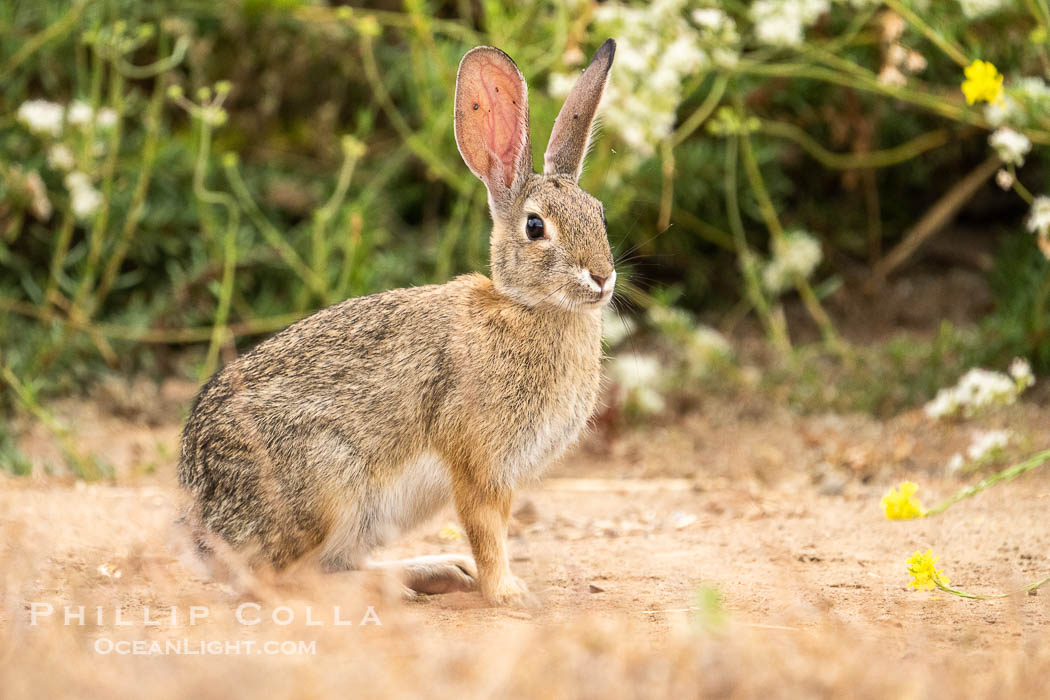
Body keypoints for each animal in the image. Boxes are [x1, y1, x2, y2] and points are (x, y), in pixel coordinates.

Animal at [178, 38, 617, 607]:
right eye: (536, 227)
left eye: (600, 214)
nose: (603, 277)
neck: (528, 308)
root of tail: (204, 528)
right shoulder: (477, 462)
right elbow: (486, 529)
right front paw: (509, 593)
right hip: (326, 484)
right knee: (280, 579)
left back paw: (434, 571)